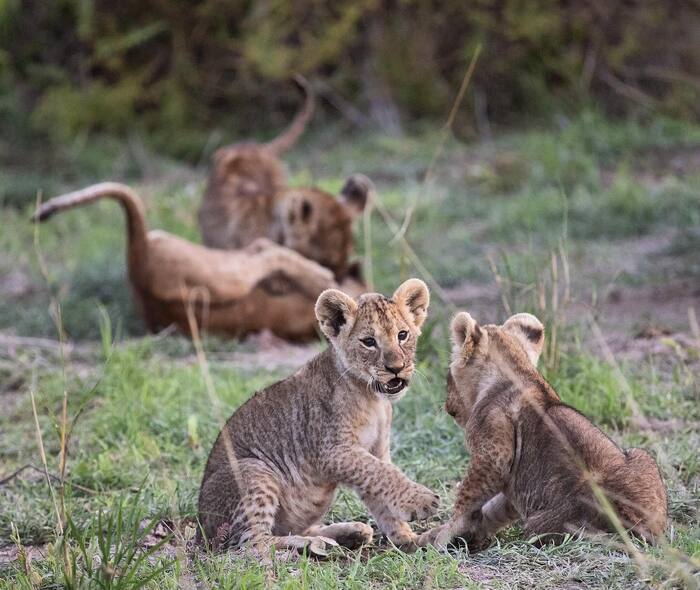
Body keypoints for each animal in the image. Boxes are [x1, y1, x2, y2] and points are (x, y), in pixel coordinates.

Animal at [32, 184, 350, 342]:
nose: (341, 267)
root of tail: (138, 255)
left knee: (260, 249)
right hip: (227, 275)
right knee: (266, 252)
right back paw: (317, 276)